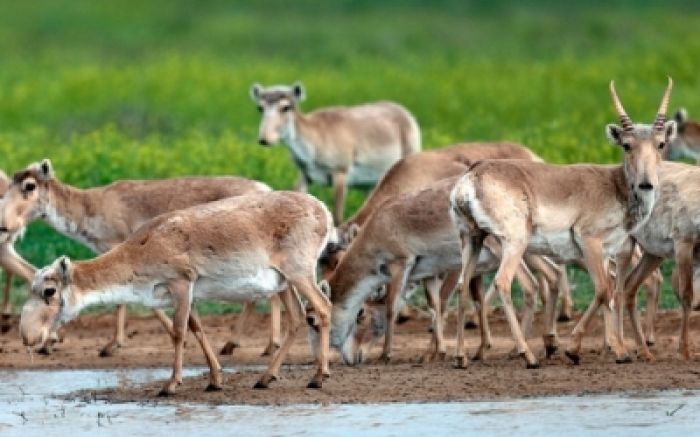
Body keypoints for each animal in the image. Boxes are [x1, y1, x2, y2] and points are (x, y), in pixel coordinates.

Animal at [0, 158, 278, 356]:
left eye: (29, 185)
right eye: (10, 184)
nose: (4, 225)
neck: (91, 207)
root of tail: (265, 188)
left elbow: (123, 301)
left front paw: (112, 345)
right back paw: (252, 345)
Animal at [17, 191, 332, 392]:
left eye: (48, 291)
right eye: (31, 288)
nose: (27, 336)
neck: (138, 253)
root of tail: (324, 211)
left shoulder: (181, 283)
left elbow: (179, 332)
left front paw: (171, 384)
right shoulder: (188, 294)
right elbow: (197, 328)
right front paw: (215, 379)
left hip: (300, 272)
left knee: (323, 308)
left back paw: (319, 376)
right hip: (283, 281)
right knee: (297, 318)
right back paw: (266, 377)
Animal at [250, 81, 418, 223]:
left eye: (286, 107)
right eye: (260, 107)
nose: (265, 139)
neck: (314, 142)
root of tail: (406, 113)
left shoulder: (340, 173)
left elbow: (337, 218)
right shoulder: (304, 174)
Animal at [452, 76, 676, 366]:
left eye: (660, 144)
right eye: (627, 145)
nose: (646, 184)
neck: (615, 185)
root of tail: (473, 175)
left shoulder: (605, 252)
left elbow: (610, 292)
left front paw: (612, 348)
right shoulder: (589, 241)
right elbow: (603, 290)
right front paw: (584, 349)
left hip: (472, 239)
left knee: (461, 286)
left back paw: (461, 357)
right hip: (514, 243)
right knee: (503, 282)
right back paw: (528, 355)